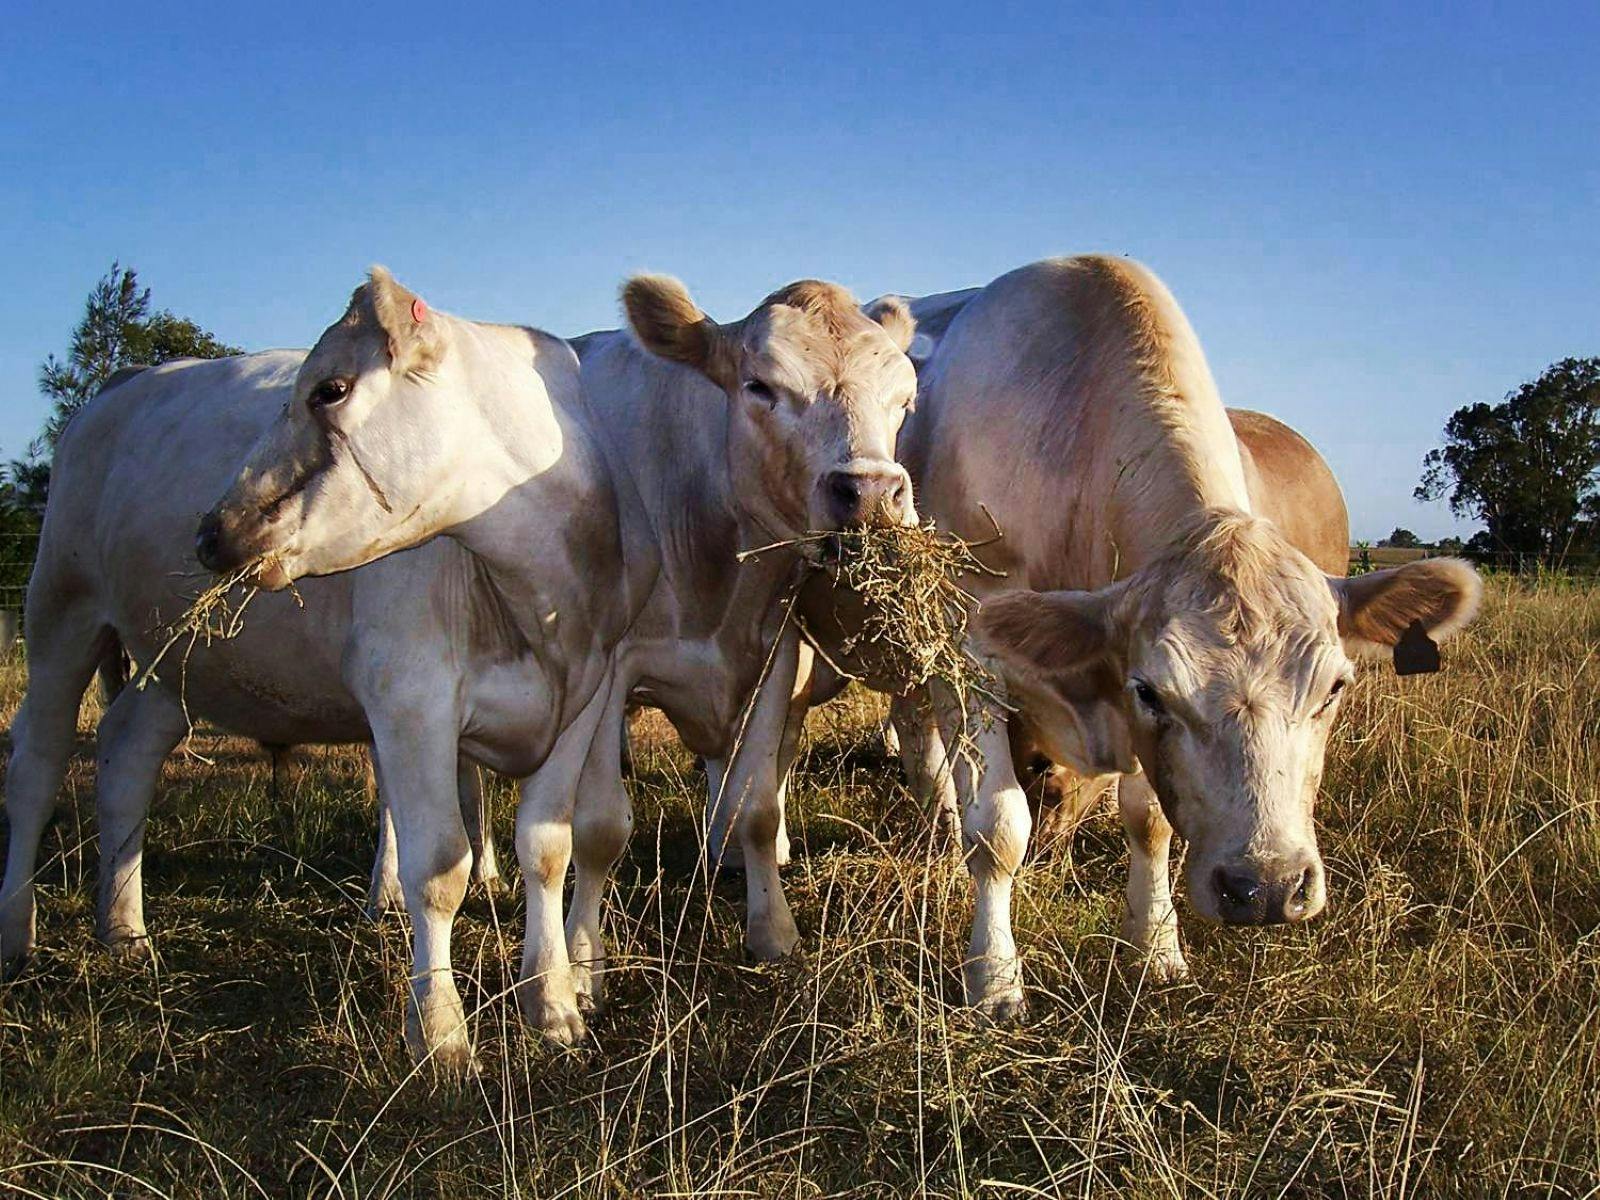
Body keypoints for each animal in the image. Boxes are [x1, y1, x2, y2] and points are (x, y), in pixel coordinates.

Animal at [789, 256, 1479, 1019]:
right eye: (1152, 691)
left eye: (1334, 687)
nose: (1266, 886)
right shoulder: (967, 651)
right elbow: (997, 829)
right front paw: (994, 979)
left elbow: (1150, 821)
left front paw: (1156, 948)